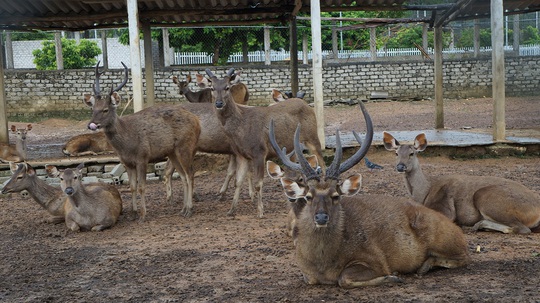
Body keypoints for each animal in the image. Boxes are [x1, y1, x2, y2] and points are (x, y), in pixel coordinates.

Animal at [84, 62, 200, 221]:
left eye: (105, 109)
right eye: (93, 109)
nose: (91, 124)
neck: (126, 144)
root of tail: (197, 122)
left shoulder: (142, 157)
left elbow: (141, 187)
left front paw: (143, 214)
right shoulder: (127, 163)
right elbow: (132, 187)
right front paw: (133, 213)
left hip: (186, 146)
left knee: (190, 174)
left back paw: (189, 209)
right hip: (172, 152)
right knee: (182, 176)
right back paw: (182, 209)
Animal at [205, 68, 324, 220]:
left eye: (227, 87)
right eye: (212, 88)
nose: (219, 103)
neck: (240, 130)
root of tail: (306, 104)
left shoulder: (260, 152)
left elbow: (258, 183)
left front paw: (260, 211)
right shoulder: (241, 154)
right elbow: (238, 182)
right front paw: (231, 210)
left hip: (312, 136)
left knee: (322, 163)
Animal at [268, 102, 470, 290]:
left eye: (336, 195)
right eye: (308, 196)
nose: (321, 217)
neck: (322, 264)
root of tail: (457, 230)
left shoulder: (374, 259)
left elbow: (344, 278)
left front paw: (393, 276)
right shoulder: (306, 273)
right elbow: (309, 278)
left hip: (444, 239)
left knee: (463, 257)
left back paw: (425, 265)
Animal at [382, 132, 540, 234]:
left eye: (412, 153)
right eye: (396, 153)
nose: (400, 166)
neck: (423, 194)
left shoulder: (445, 209)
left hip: (487, 198)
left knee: (522, 229)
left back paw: (475, 226)